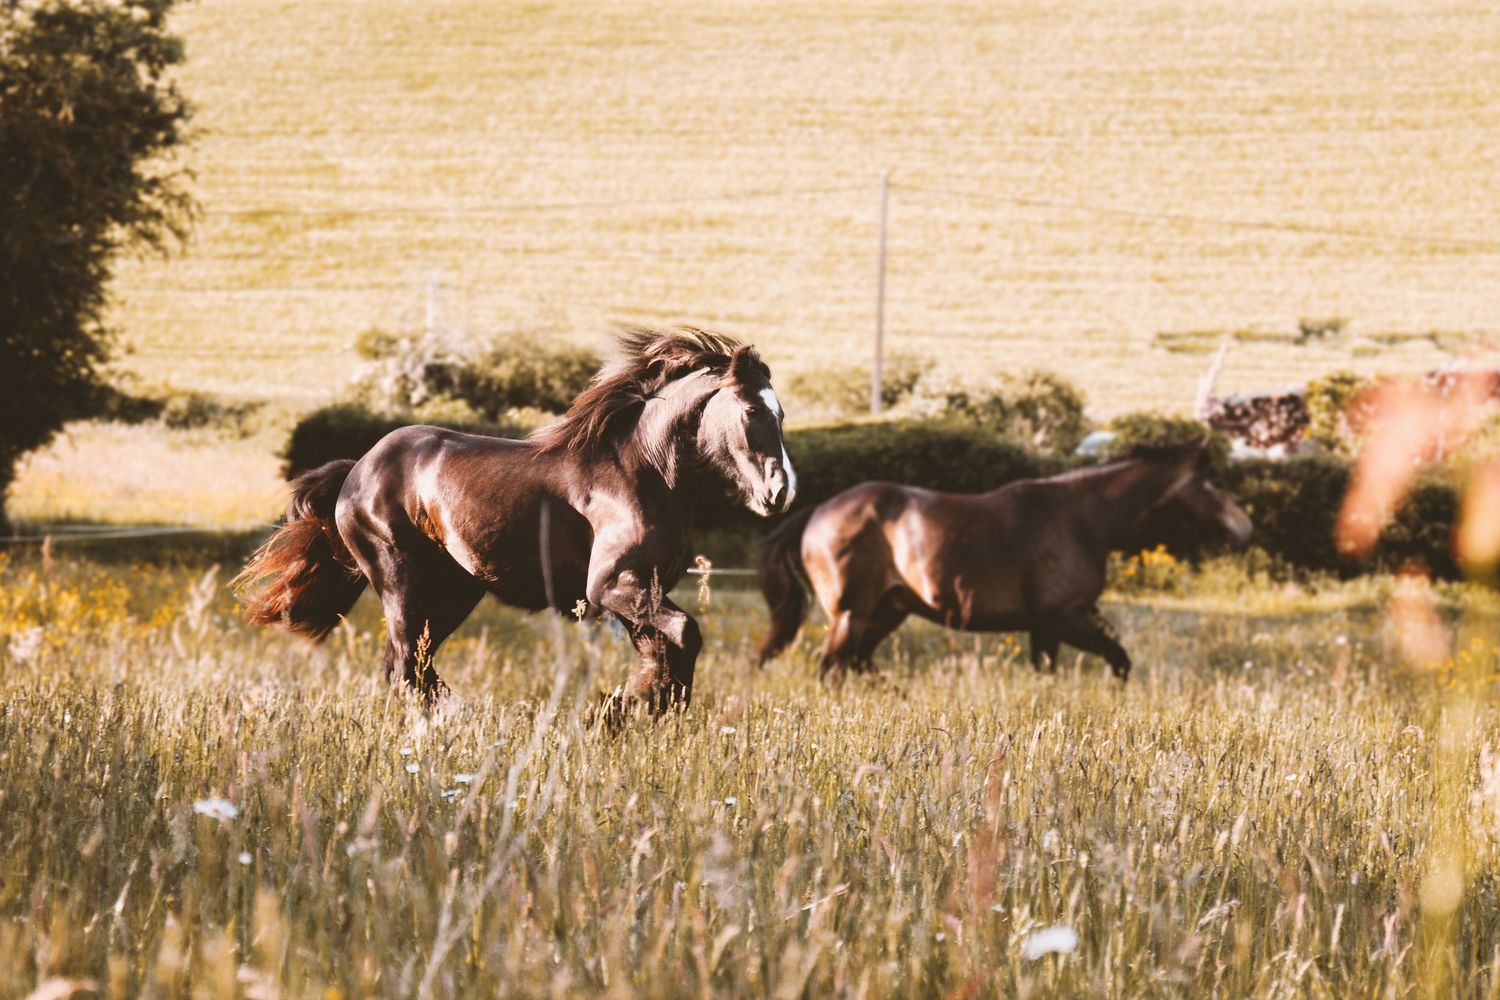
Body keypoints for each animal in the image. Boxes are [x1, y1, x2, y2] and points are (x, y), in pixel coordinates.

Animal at [237, 326, 797, 712]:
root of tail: (358, 469)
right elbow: (684, 633)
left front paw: (634, 708)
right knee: (406, 666)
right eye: (752, 411)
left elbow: (662, 650)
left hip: (454, 592)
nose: (780, 491)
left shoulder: (641, 592)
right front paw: (633, 709)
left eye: (782, 413)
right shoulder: (613, 586)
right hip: (400, 581)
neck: (644, 472)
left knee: (411, 665)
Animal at [754, 442, 1251, 679]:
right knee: (833, 668)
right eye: (1215, 481)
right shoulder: (1065, 617)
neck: (1083, 517)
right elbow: (1120, 660)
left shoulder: (1047, 626)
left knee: (857, 664)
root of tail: (818, 511)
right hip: (851, 613)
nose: (1246, 531)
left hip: (886, 613)